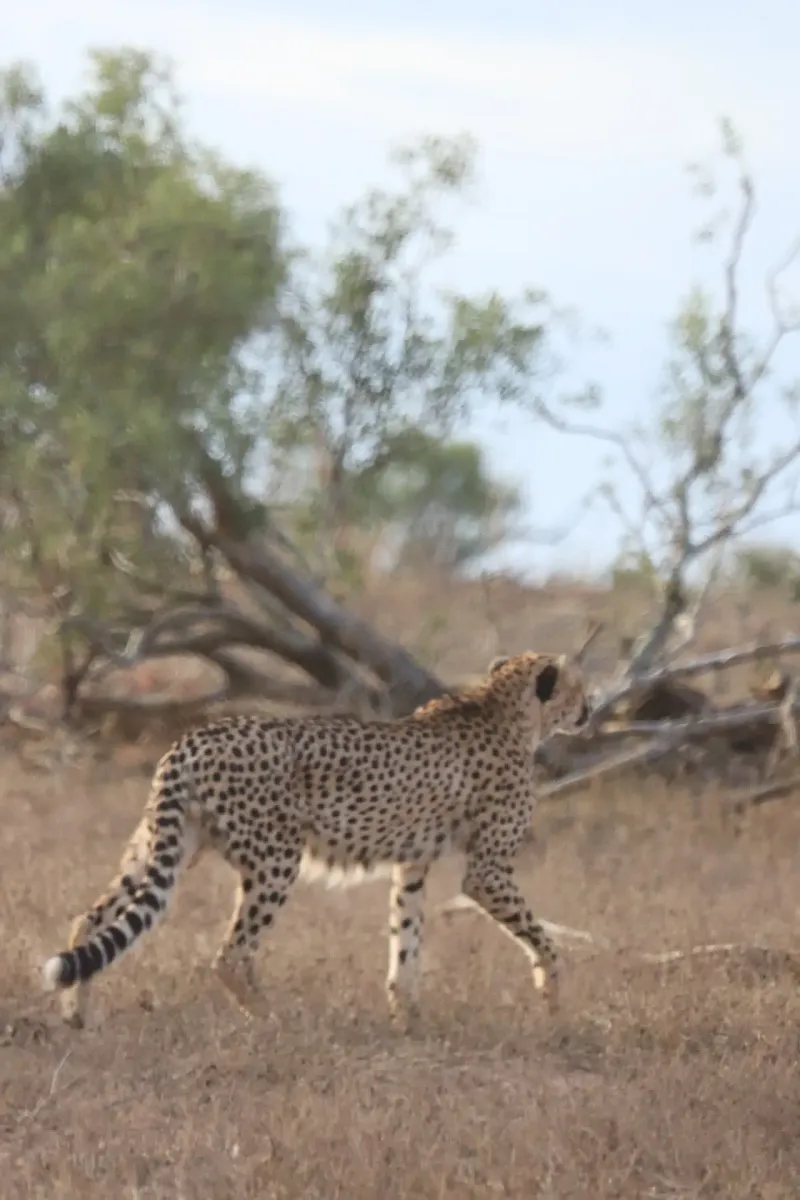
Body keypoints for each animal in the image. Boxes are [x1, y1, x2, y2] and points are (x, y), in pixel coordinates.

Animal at [41, 650, 591, 1030]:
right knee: (230, 956)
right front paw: (553, 1000)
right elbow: (541, 937)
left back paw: (77, 1013)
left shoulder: (412, 865)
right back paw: (274, 1020)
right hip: (276, 861)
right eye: (578, 688)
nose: (591, 707)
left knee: (90, 919)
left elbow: (406, 939)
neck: (502, 706)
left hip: (166, 845)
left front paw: (407, 1018)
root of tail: (194, 737)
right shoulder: (487, 871)